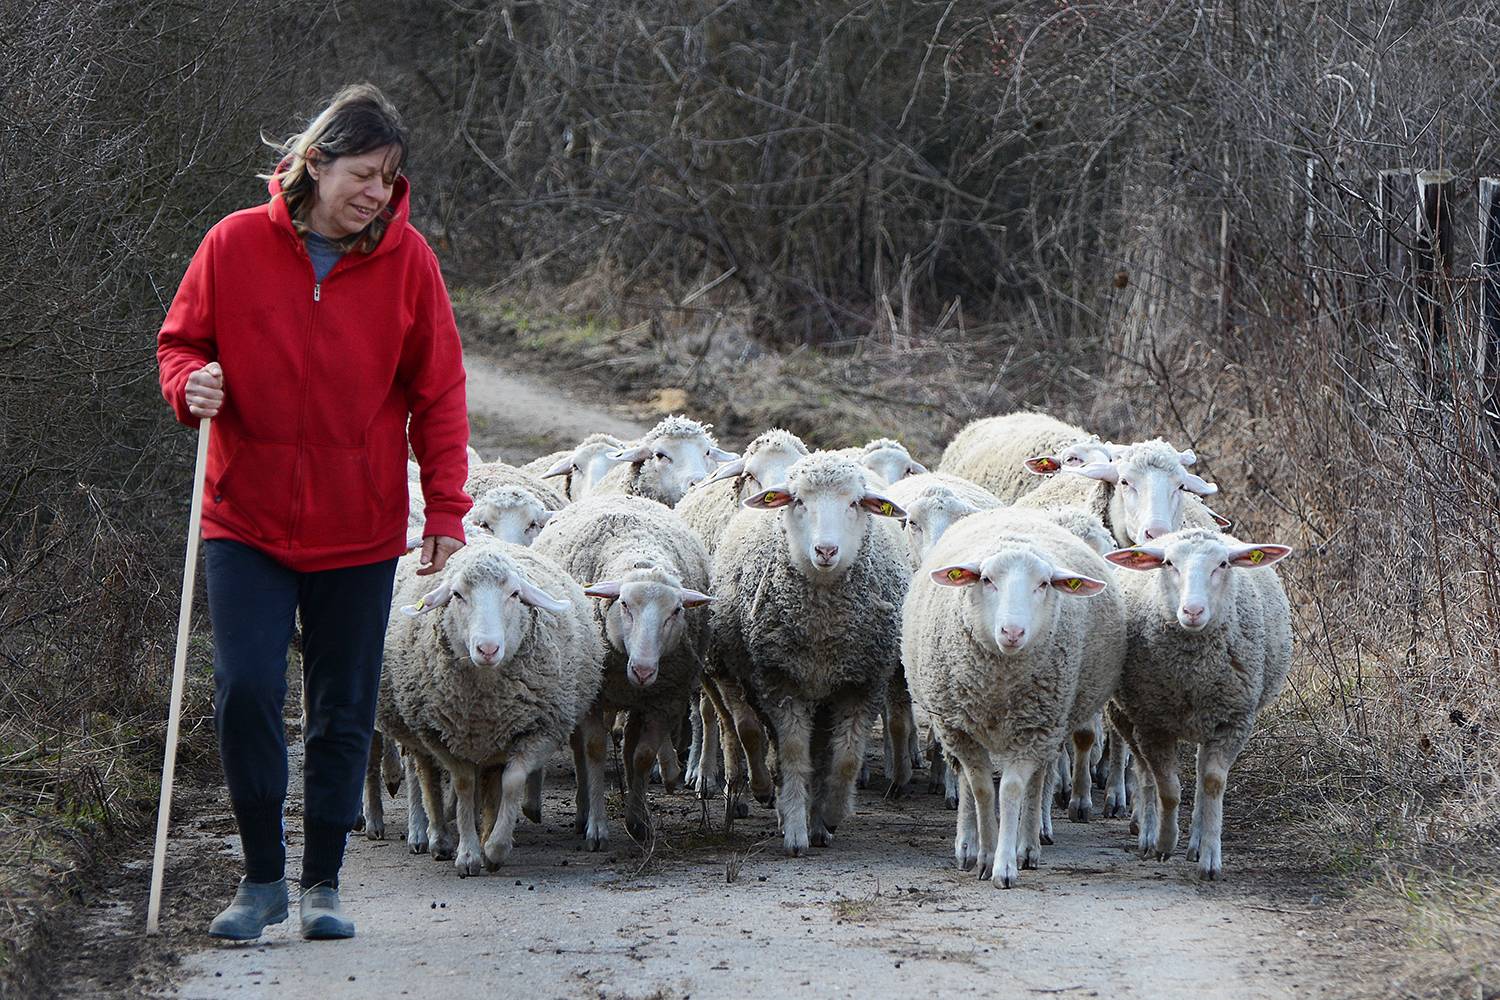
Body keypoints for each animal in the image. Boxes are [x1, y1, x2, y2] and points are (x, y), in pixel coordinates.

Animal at [376, 536, 604, 875]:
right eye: (457, 595)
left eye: (514, 594)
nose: (487, 648)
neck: (485, 706)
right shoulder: (441, 737)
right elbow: (463, 784)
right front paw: (468, 854)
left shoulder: (539, 731)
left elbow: (511, 782)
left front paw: (495, 847)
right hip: (418, 727)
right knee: (424, 775)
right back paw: (434, 836)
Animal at [532, 494, 714, 845]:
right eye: (625, 604)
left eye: (676, 611)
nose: (643, 670)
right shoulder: (593, 698)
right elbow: (593, 750)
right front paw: (597, 827)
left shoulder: (662, 700)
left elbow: (642, 755)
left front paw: (637, 821)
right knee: (579, 749)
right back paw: (582, 812)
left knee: (629, 745)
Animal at [710, 452, 909, 855]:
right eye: (799, 501)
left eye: (854, 503)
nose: (826, 550)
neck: (823, 625)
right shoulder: (781, 682)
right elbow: (793, 756)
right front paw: (795, 830)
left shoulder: (861, 682)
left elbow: (846, 760)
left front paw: (830, 814)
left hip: (826, 693)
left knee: (823, 754)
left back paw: (819, 821)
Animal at [903, 508, 1125, 887]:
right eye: (987, 579)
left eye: (1043, 584)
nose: (1012, 631)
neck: (998, 685)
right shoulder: (958, 728)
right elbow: (980, 789)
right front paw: (984, 854)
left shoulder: (1034, 728)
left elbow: (1011, 790)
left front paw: (1005, 864)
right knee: (965, 779)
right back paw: (968, 844)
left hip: (1051, 724)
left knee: (1039, 778)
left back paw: (1029, 845)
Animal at [1102, 529, 1293, 879]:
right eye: (1169, 564)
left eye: (1222, 564)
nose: (1192, 611)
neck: (1194, 673)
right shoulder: (1153, 724)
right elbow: (1168, 788)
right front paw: (1164, 842)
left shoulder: (1234, 720)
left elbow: (1213, 783)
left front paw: (1210, 857)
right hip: (1126, 715)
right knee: (1143, 771)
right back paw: (1147, 832)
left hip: (1208, 719)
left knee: (1202, 771)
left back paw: (1195, 844)